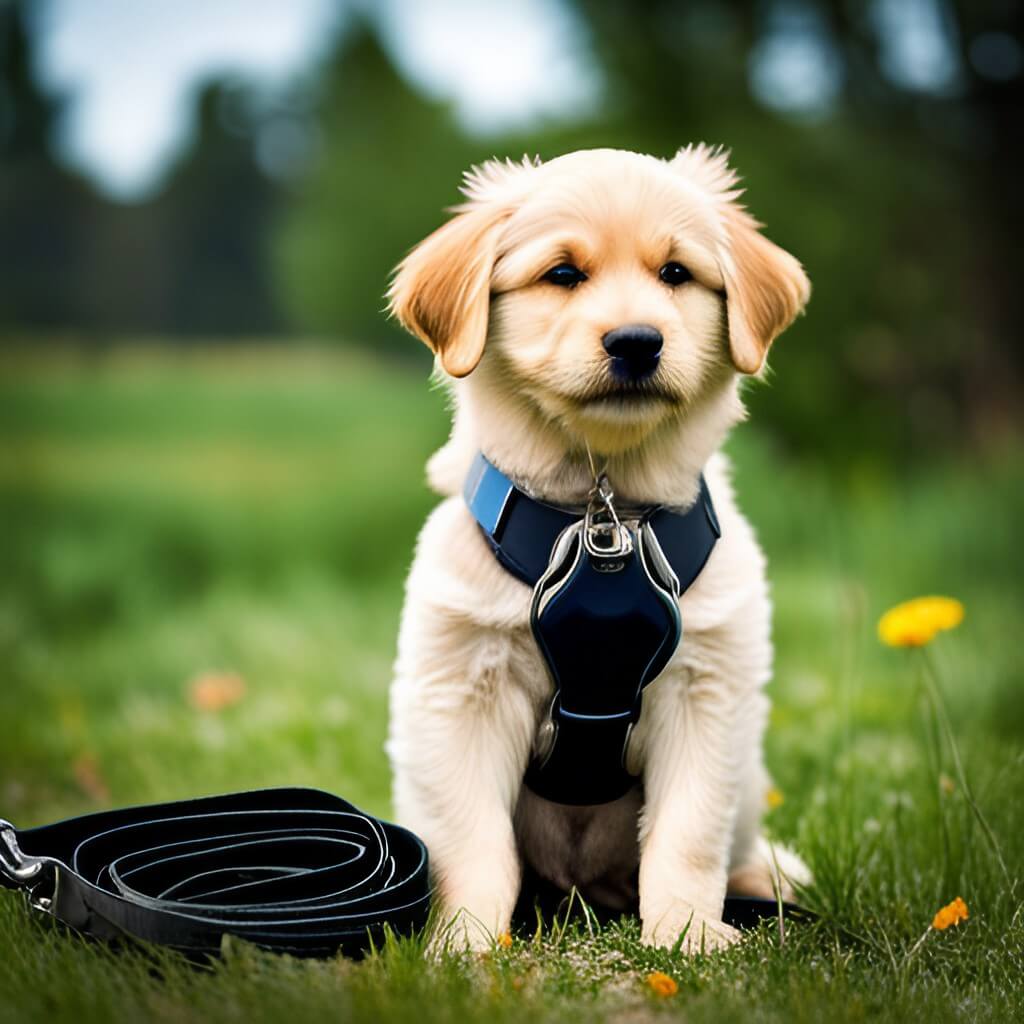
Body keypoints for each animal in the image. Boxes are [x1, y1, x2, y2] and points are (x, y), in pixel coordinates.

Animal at [387, 144, 811, 950]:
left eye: (675, 273)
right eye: (562, 274)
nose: (637, 341)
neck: (600, 505)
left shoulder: (707, 693)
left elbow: (687, 833)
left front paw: (688, 935)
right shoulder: (462, 694)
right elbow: (473, 841)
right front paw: (463, 942)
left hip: (746, 775)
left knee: (732, 843)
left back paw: (762, 880)